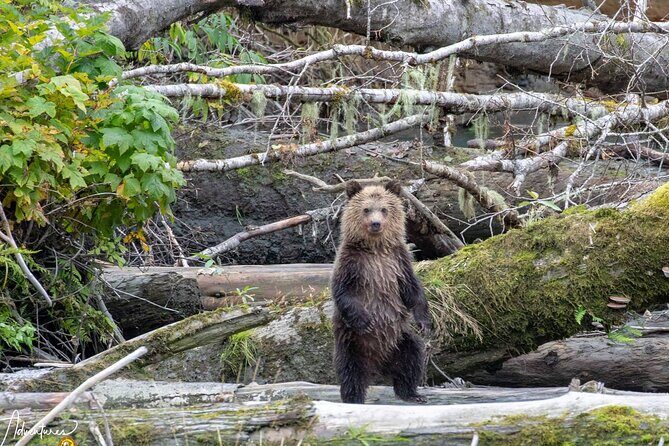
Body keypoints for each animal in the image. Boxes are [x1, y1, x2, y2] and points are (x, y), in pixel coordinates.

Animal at [331, 179, 431, 404]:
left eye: (384, 209)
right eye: (366, 209)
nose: (375, 223)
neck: (376, 249)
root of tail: (379, 363)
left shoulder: (398, 262)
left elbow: (413, 291)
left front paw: (424, 322)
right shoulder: (352, 263)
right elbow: (343, 292)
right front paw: (365, 320)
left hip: (399, 340)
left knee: (411, 357)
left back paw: (412, 394)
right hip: (352, 343)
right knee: (351, 372)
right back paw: (354, 398)